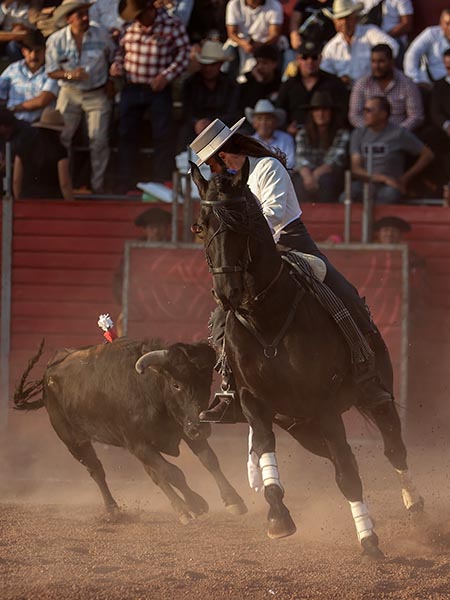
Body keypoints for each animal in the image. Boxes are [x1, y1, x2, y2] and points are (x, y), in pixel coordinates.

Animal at [14, 338, 248, 524]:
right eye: (176, 384)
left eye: (207, 381)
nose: (201, 428)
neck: (151, 391)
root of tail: (48, 373)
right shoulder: (138, 444)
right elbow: (173, 472)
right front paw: (196, 504)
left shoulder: (183, 428)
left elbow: (209, 460)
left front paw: (234, 501)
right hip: (74, 441)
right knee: (97, 471)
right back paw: (114, 509)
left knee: (155, 475)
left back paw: (180, 509)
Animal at [192, 159, 424, 556]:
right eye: (203, 224)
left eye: (241, 220)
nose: (226, 291)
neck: (268, 318)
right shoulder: (255, 403)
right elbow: (267, 452)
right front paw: (278, 517)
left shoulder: (324, 403)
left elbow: (348, 473)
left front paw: (369, 540)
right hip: (301, 427)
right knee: (334, 453)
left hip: (374, 397)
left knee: (393, 450)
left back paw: (415, 507)